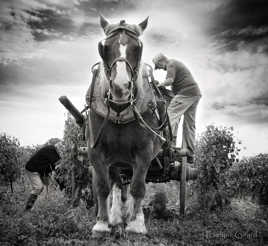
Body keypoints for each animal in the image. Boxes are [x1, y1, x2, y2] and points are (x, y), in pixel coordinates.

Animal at [87, 16, 164, 235]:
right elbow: (102, 186)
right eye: (104, 47)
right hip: (115, 160)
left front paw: (136, 223)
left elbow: (138, 187)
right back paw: (115, 215)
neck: (120, 109)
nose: (120, 88)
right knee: (117, 183)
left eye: (138, 48)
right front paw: (102, 223)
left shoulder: (145, 152)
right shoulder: (96, 151)